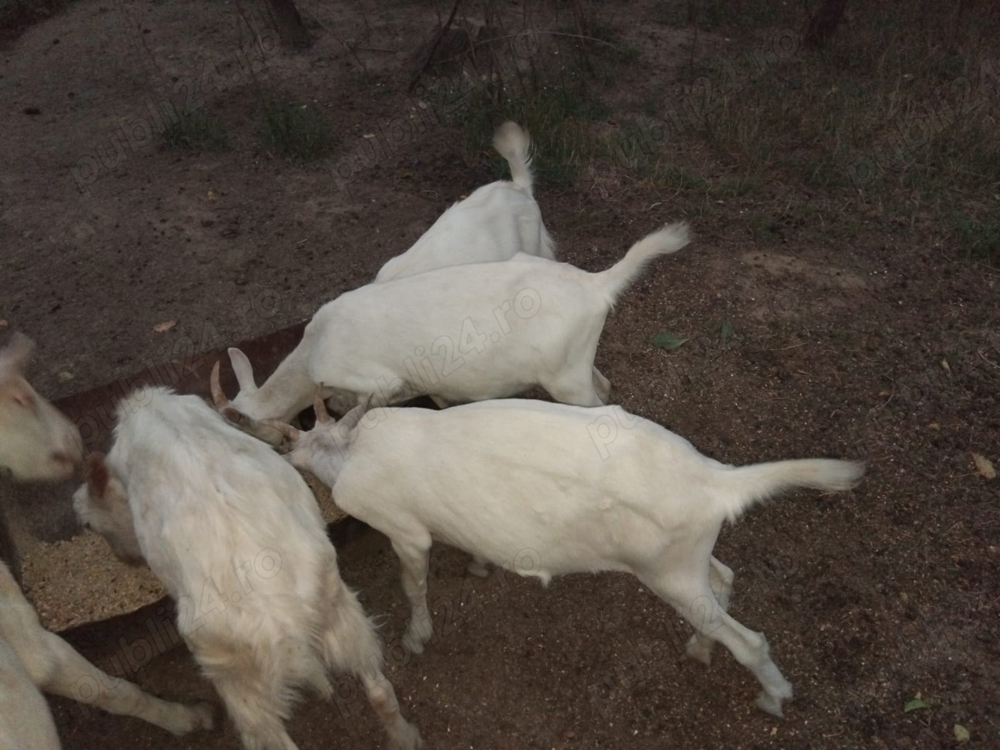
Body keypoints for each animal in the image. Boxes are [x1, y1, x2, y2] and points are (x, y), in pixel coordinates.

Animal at [73, 386, 421, 750]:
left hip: (236, 680)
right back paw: (407, 737)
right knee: (380, 692)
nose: (126, 557)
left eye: (90, 524)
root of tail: (278, 621)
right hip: (343, 615)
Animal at [210, 222, 692, 425]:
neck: (313, 353)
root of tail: (598, 285)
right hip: (574, 364)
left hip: (566, 380)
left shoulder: (375, 381)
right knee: (605, 385)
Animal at [267, 394, 865, 719]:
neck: (351, 452)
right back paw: (699, 647)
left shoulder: (405, 529)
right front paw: (479, 564)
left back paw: (774, 696)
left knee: (749, 639)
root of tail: (716, 482)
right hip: (685, 563)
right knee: (723, 580)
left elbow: (413, 583)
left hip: (666, 572)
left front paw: (416, 638)